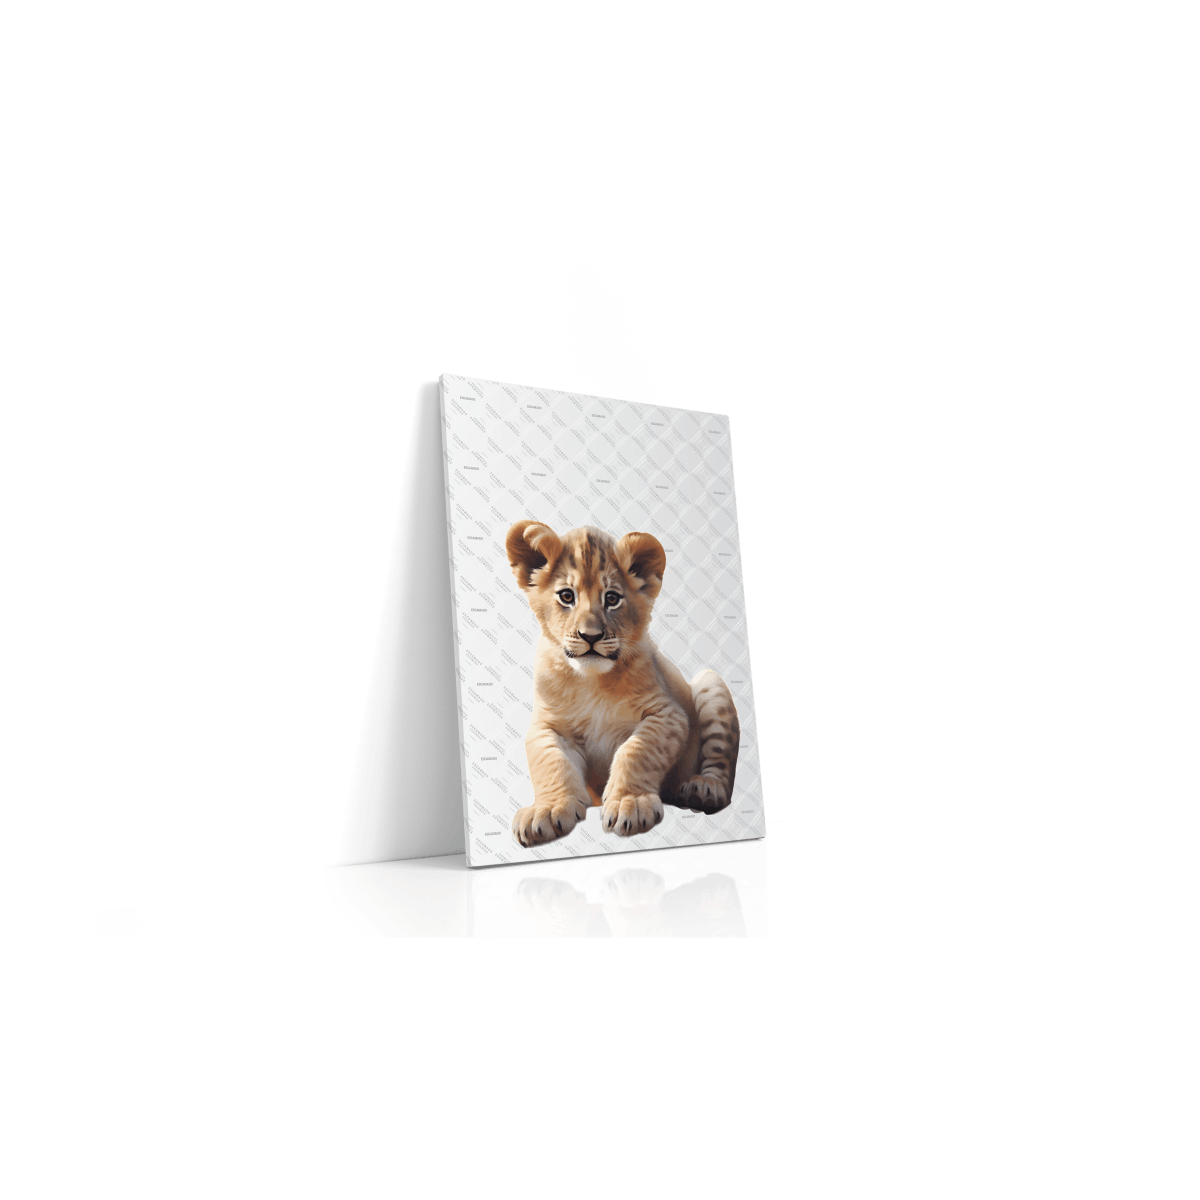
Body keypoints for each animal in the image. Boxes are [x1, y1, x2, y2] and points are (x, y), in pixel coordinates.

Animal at [505, 521, 740, 846]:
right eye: (567, 596)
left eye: (612, 599)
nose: (590, 636)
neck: (591, 680)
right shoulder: (547, 726)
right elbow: (551, 762)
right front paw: (548, 809)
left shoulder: (668, 715)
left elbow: (636, 752)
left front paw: (631, 804)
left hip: (710, 682)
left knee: (720, 762)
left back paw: (702, 788)